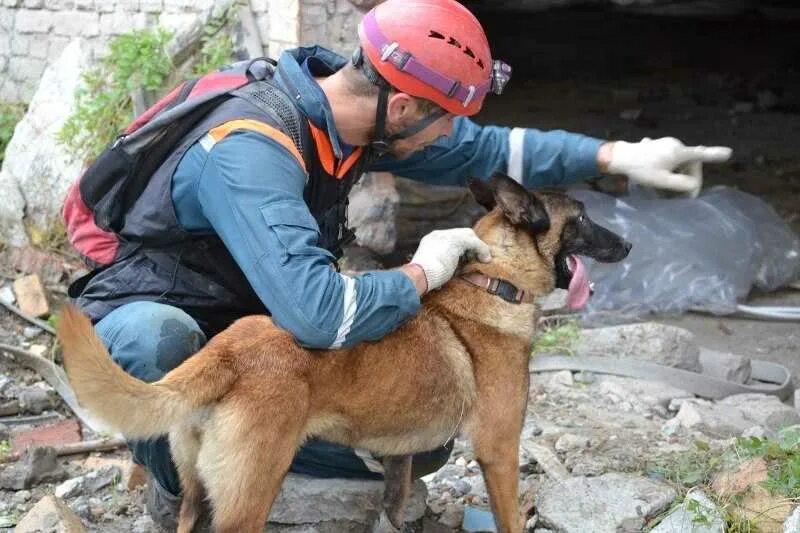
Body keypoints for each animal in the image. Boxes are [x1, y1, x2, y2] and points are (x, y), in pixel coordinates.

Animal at [56, 172, 632, 528]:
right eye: (582, 218)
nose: (628, 244)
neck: (494, 280)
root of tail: (229, 351)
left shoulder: (399, 458)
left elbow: (395, 510)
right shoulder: (499, 450)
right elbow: (510, 517)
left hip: (198, 495)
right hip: (250, 493)